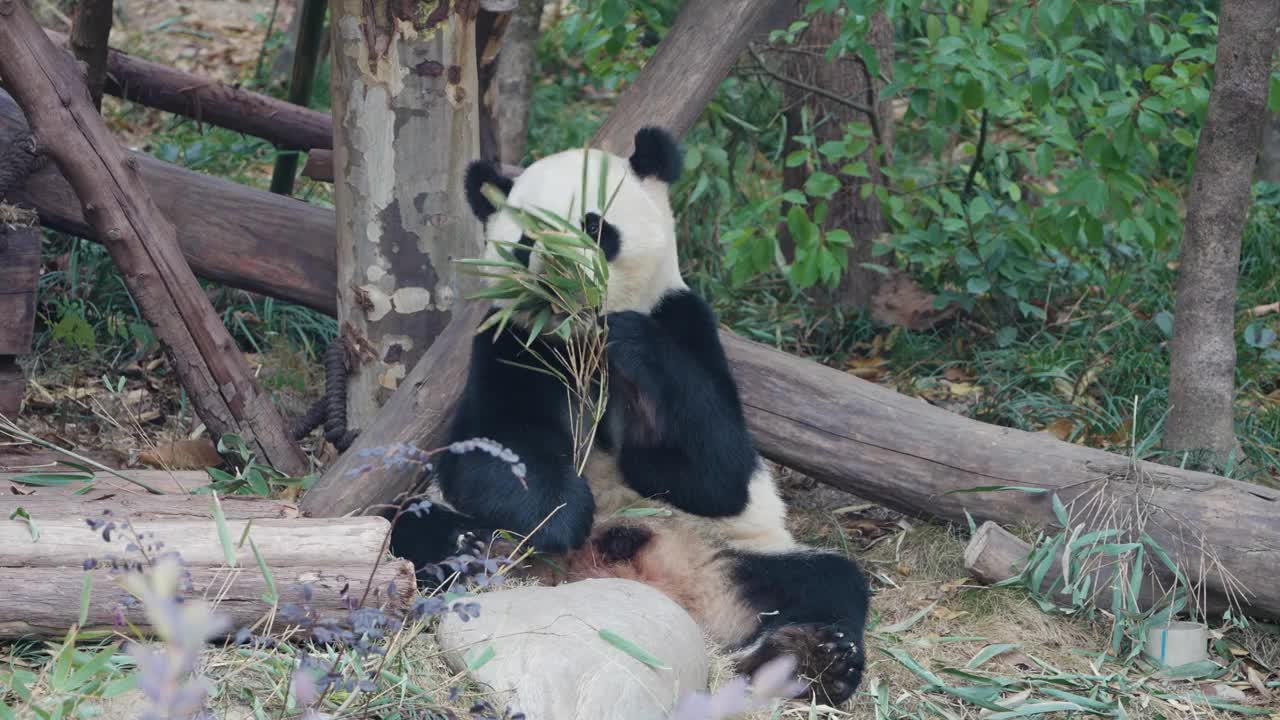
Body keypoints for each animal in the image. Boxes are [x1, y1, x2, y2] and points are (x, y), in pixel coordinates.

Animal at [389, 127, 870, 702]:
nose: (560, 276)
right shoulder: (511, 342)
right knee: (409, 527)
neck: (579, 339)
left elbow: (718, 470)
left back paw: (816, 658)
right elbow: (487, 449)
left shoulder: (684, 321)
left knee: (829, 583)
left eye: (595, 226)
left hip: (730, 556)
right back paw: (467, 544)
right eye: (526, 241)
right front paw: (563, 512)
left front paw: (631, 342)